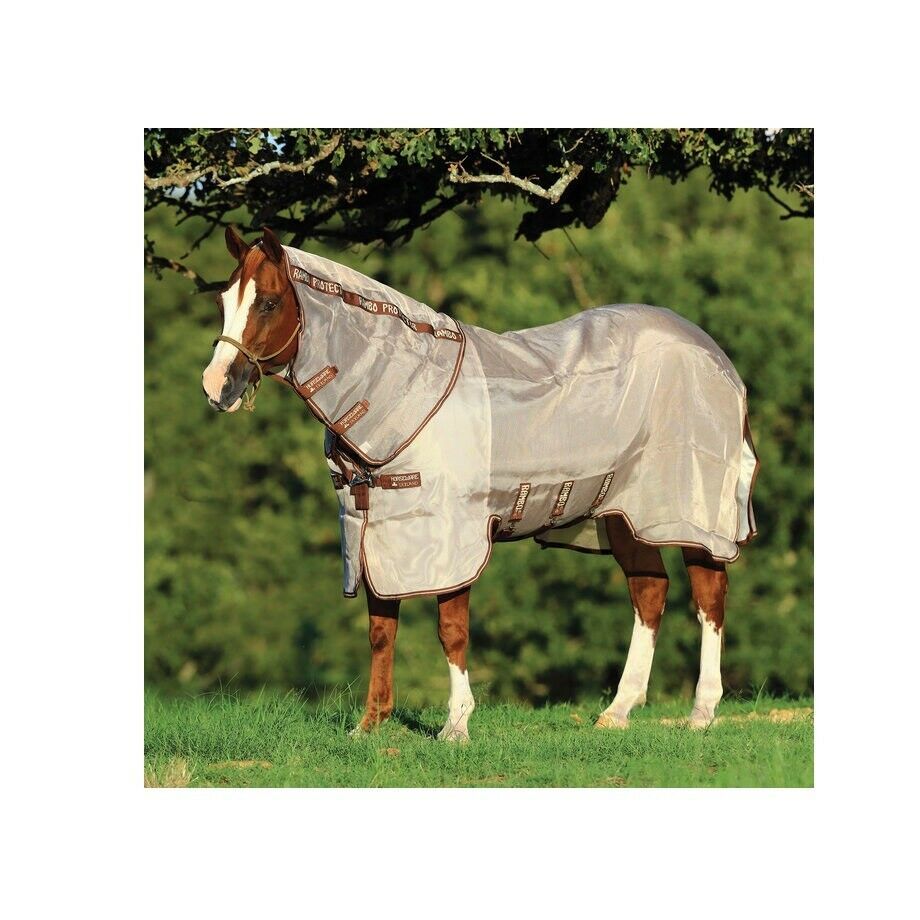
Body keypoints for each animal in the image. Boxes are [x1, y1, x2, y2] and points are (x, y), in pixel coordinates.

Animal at [202, 226, 759, 739]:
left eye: (269, 302)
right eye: (225, 300)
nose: (216, 386)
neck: (399, 390)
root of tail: (715, 357)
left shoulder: (451, 536)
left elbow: (451, 631)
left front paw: (456, 726)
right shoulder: (376, 534)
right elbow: (381, 631)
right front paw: (370, 725)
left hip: (691, 511)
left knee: (709, 594)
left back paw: (702, 712)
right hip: (622, 514)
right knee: (649, 592)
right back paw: (617, 711)